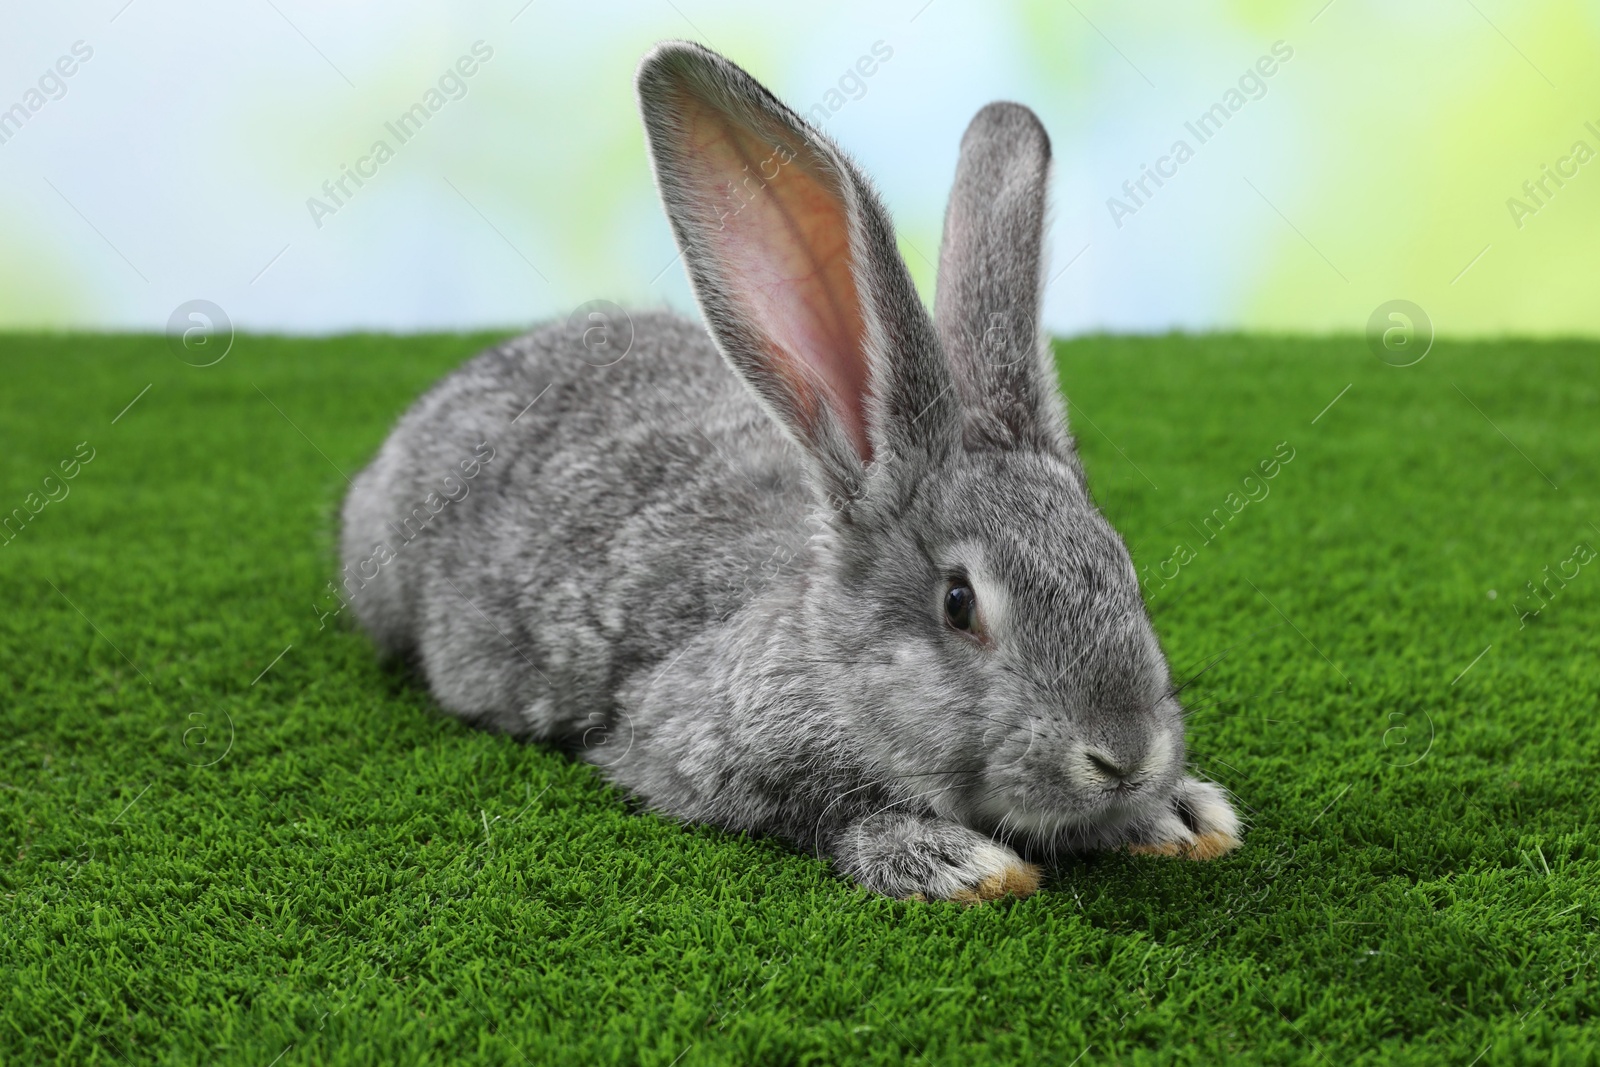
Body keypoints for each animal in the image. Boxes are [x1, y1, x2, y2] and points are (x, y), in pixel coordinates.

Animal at [337, 39, 1241, 902]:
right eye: (959, 604)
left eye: (1123, 568)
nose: (1123, 755)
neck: (826, 654)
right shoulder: (695, 743)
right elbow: (833, 814)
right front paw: (957, 865)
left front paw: (1180, 816)